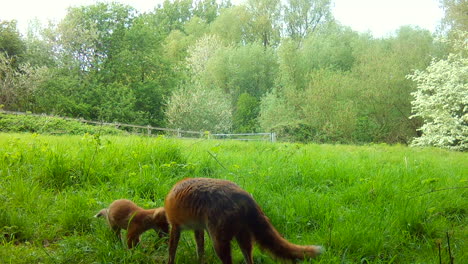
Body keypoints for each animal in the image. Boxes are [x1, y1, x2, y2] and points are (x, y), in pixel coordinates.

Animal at [165, 177, 322, 264]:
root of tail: (242, 192)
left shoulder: (175, 226)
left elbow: (171, 252)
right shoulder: (198, 229)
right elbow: (200, 251)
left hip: (219, 242)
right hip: (243, 239)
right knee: (249, 260)